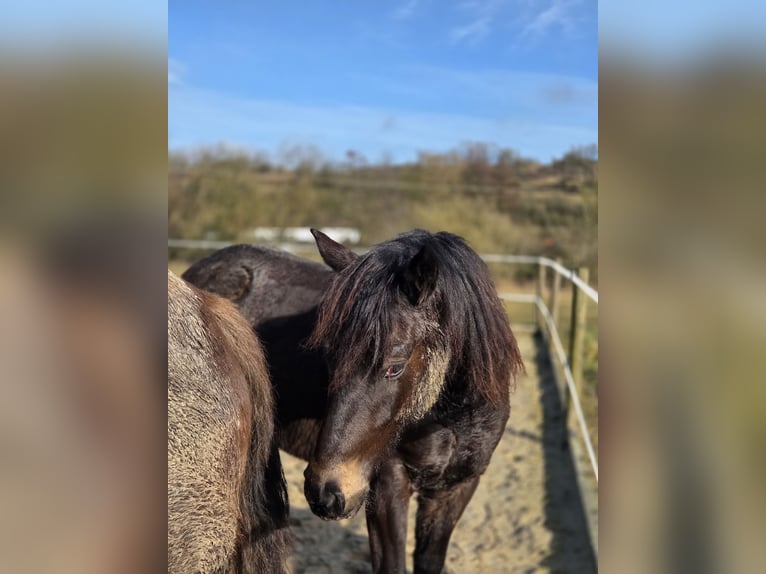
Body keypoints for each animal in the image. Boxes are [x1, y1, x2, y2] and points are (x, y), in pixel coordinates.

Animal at [183, 232, 524, 572]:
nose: (324, 493)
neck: (452, 420)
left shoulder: (456, 489)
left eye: (394, 367)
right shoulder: (387, 484)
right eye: (330, 358)